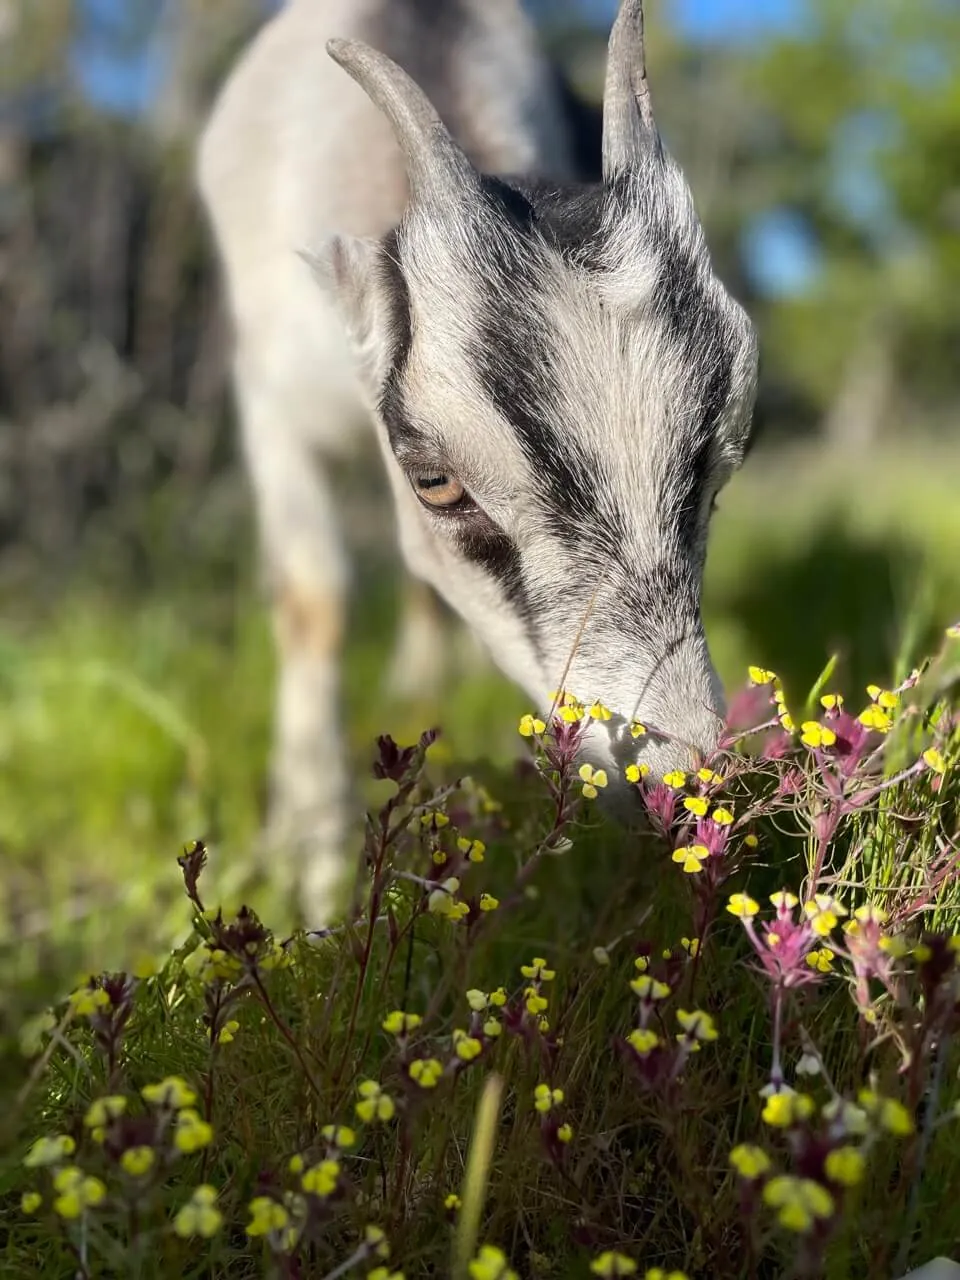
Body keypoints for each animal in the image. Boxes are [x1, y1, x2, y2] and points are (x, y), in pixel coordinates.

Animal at [196, 0, 759, 923]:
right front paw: (312, 872)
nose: (681, 788)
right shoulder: (271, 406)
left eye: (714, 469)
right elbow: (314, 600)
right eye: (435, 481)